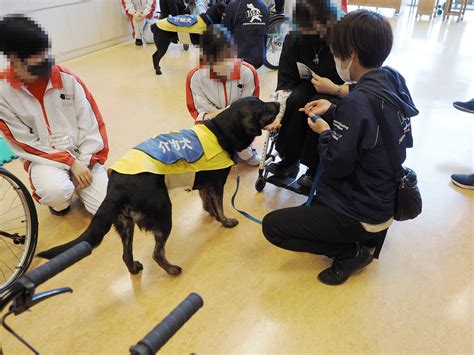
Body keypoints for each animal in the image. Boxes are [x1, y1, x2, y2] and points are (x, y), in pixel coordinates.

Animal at [39, 98, 282, 276]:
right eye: (264, 106)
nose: (279, 102)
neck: (222, 131)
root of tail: (117, 183)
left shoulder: (204, 184)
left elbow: (207, 203)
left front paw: (212, 215)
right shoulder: (216, 184)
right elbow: (219, 206)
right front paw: (225, 221)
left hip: (125, 223)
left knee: (126, 255)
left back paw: (134, 269)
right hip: (163, 213)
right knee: (157, 253)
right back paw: (172, 270)